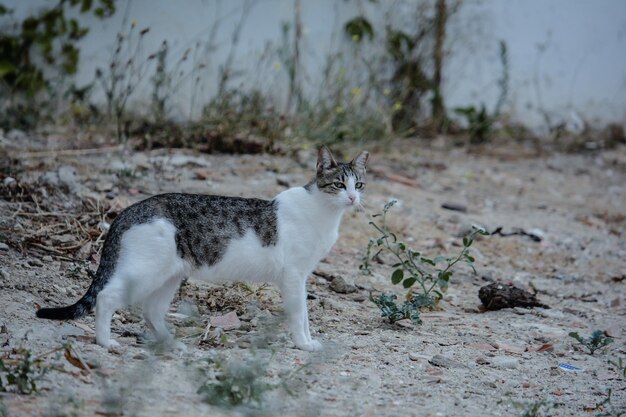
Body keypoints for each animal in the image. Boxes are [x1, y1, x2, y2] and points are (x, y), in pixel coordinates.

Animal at [36, 146, 368, 352]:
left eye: (359, 185)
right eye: (339, 185)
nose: (353, 199)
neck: (324, 212)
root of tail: (130, 209)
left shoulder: (302, 276)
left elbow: (307, 315)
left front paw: (309, 341)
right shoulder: (293, 275)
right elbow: (299, 314)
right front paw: (302, 344)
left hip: (169, 276)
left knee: (152, 311)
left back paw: (172, 344)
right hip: (145, 271)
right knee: (106, 297)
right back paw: (105, 342)